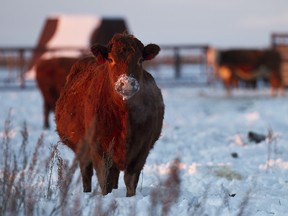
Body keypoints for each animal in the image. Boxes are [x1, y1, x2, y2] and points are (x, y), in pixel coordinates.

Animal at [54, 33, 164, 197]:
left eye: (140, 59)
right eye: (111, 59)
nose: (127, 83)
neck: (124, 117)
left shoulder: (143, 147)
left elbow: (130, 180)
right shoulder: (98, 147)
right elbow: (104, 180)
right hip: (82, 149)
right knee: (86, 173)